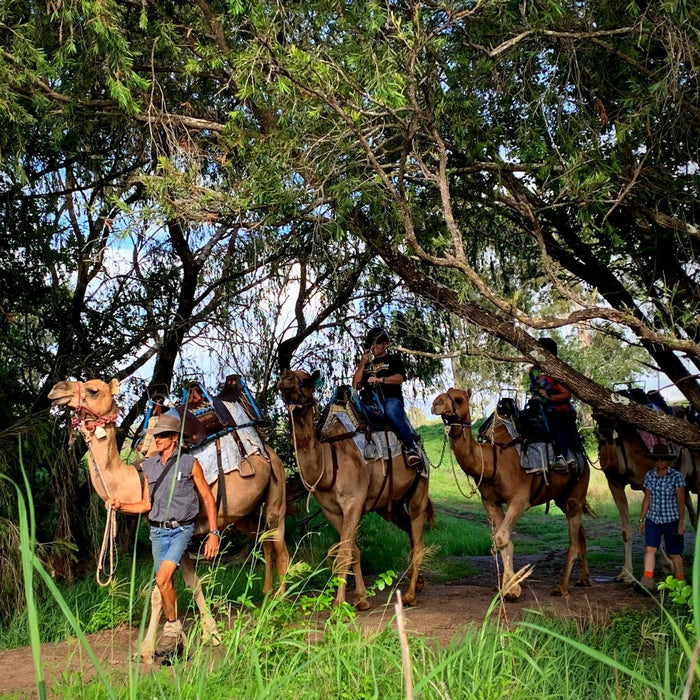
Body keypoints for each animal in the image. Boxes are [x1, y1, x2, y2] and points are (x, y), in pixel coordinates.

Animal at [49, 378, 288, 660]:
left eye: (93, 390)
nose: (56, 390)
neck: (138, 478)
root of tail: (269, 450)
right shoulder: (177, 537)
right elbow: (190, 584)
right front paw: (209, 634)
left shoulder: (186, 530)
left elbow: (157, 590)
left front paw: (146, 649)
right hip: (246, 514)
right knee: (266, 542)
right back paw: (267, 595)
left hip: (276, 494)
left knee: (280, 545)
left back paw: (281, 604)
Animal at [278, 370, 432, 608]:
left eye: (305, 379)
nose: (283, 378)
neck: (329, 461)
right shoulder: (331, 510)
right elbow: (353, 551)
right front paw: (360, 599)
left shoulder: (353, 503)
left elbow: (343, 554)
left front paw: (338, 605)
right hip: (390, 506)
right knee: (411, 534)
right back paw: (419, 583)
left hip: (419, 490)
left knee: (418, 537)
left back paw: (409, 595)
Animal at [430, 386, 588, 600]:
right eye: (444, 392)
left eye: (459, 398)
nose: (436, 404)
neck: (492, 460)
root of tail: (582, 453)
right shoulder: (490, 501)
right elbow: (504, 541)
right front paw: (508, 588)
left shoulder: (520, 499)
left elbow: (501, 538)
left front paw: (513, 588)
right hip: (561, 498)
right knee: (581, 533)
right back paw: (584, 579)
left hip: (576, 494)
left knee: (573, 541)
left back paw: (562, 588)